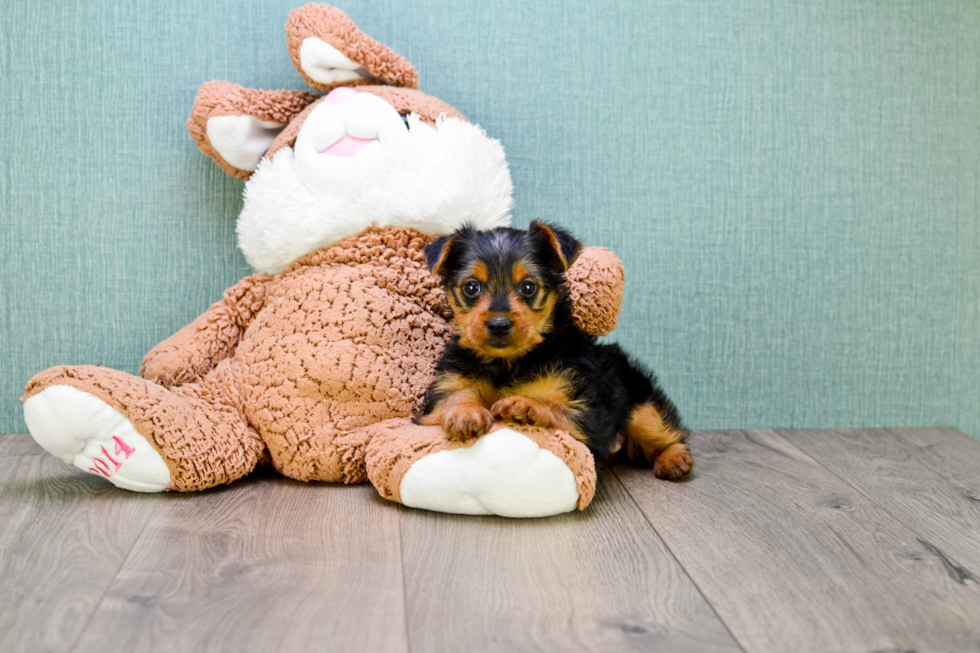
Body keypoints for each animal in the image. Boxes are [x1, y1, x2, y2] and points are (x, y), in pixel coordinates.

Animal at [418, 223, 692, 478]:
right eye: (471, 287)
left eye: (528, 287)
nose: (498, 324)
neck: (508, 362)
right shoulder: (443, 391)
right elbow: (455, 396)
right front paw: (465, 413)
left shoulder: (587, 409)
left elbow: (556, 408)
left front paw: (524, 405)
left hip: (641, 404)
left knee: (662, 430)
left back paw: (674, 459)